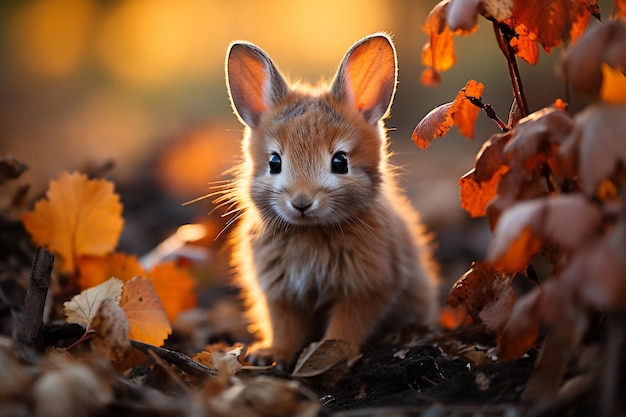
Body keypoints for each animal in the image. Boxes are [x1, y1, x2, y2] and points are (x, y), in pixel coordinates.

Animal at [222, 32, 436, 368]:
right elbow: (285, 326)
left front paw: (334, 355)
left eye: (340, 162)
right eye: (274, 162)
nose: (301, 202)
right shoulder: (280, 294)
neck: (310, 232)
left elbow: (346, 325)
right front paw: (272, 355)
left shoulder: (366, 289)